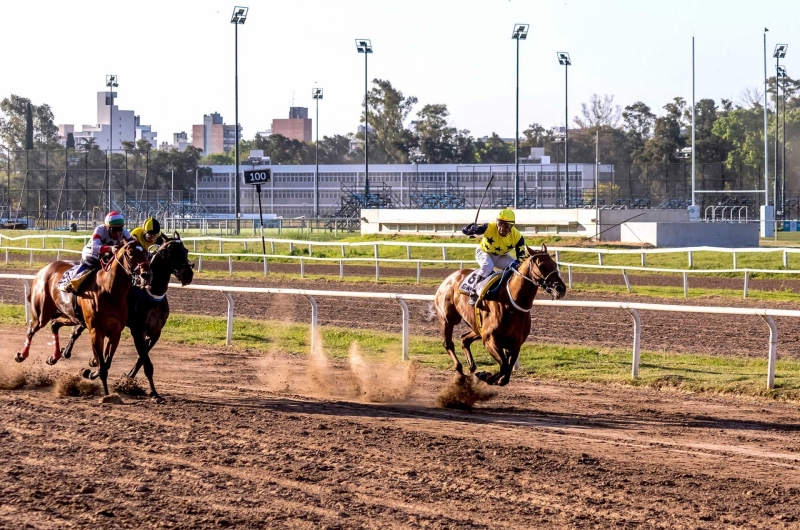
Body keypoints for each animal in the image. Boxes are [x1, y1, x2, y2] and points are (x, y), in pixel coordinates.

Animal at [15, 241, 153, 394]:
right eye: (130, 254)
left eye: (146, 253)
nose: (146, 275)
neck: (109, 292)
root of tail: (45, 269)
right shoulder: (95, 330)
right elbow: (102, 365)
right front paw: (106, 393)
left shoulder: (115, 333)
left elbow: (107, 361)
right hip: (42, 314)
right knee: (32, 329)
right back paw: (21, 355)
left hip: (71, 315)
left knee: (55, 324)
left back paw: (54, 357)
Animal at [58, 233, 195, 398]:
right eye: (171, 251)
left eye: (186, 250)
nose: (187, 274)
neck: (151, 294)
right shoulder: (138, 330)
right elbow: (145, 361)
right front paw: (154, 393)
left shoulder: (156, 332)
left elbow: (141, 359)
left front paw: (128, 377)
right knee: (77, 332)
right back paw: (67, 352)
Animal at [434, 243, 564, 384]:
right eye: (541, 266)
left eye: (554, 264)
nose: (560, 288)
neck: (512, 303)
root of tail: (450, 278)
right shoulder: (490, 340)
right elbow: (504, 366)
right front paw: (485, 376)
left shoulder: (515, 344)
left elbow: (506, 373)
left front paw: (488, 376)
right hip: (448, 319)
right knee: (448, 344)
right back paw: (460, 370)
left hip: (477, 327)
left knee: (464, 339)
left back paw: (472, 368)